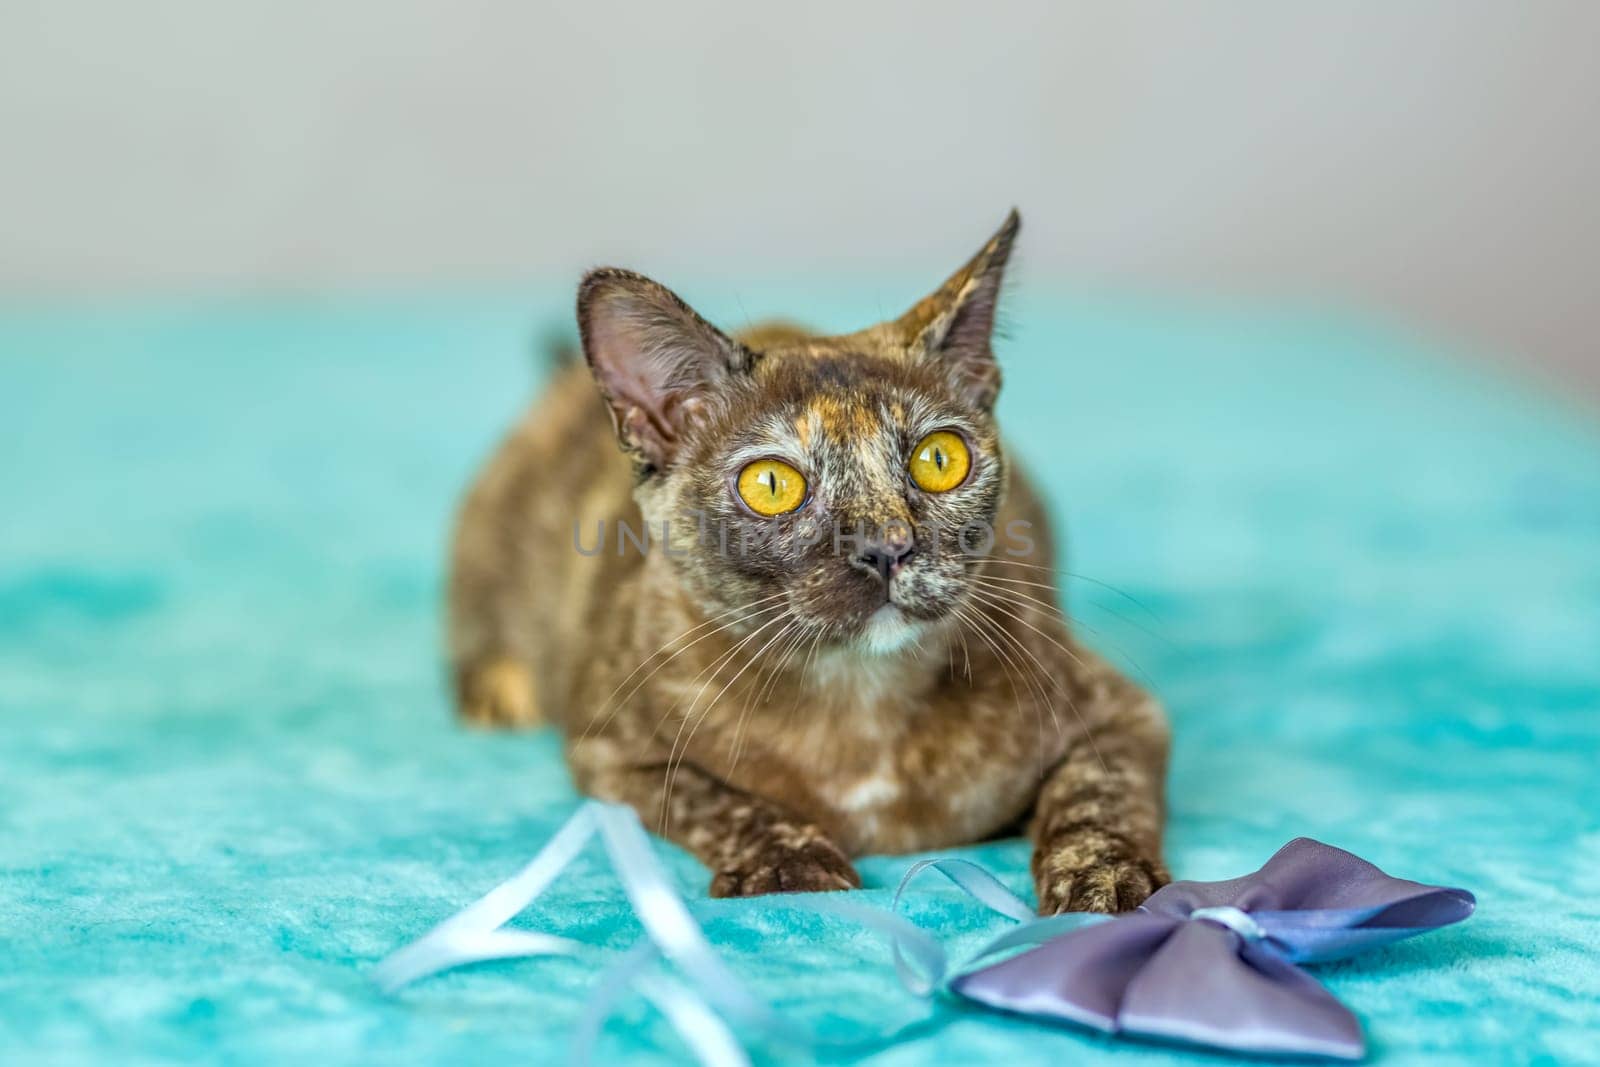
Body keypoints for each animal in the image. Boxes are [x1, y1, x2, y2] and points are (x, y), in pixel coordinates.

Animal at [444, 212, 1171, 915]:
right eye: (772, 484)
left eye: (940, 459)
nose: (886, 545)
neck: (859, 698)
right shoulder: (612, 752)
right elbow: (717, 801)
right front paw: (789, 863)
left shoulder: (1123, 712)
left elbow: (1095, 794)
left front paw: (1104, 874)